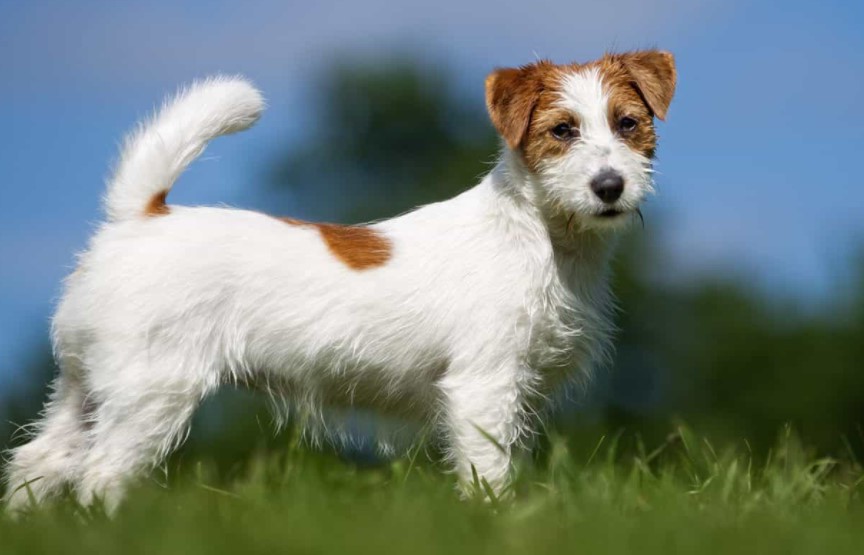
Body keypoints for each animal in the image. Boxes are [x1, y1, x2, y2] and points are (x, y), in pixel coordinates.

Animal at [1, 50, 676, 516]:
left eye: (628, 123)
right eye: (562, 131)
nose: (610, 187)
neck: (541, 235)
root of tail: (140, 216)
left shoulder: (519, 392)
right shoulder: (484, 386)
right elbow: (487, 470)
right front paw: (496, 519)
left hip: (86, 386)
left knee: (40, 460)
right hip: (151, 390)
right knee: (101, 473)